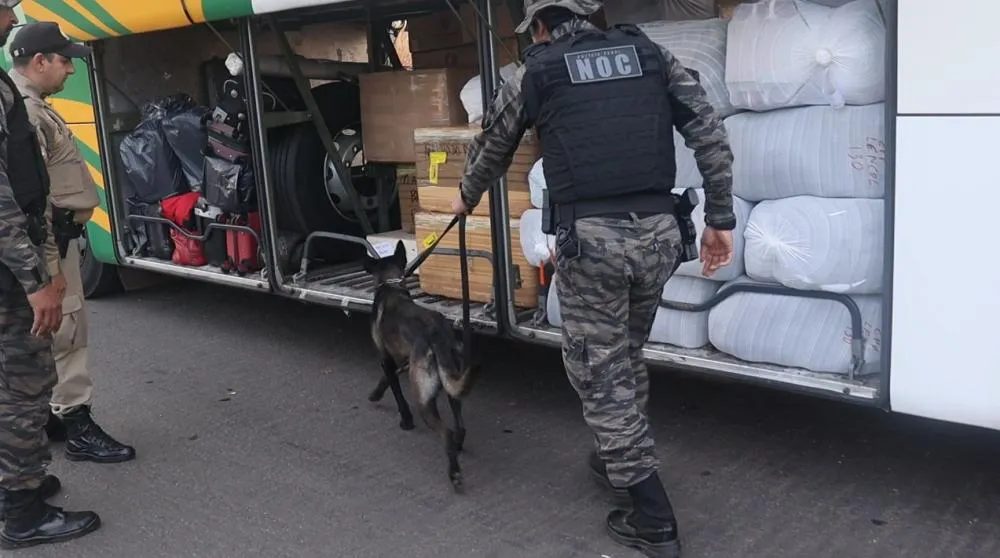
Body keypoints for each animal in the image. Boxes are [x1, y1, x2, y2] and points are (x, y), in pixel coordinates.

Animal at [364, 242, 480, 494]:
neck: (391, 287)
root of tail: (437, 334)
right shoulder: (403, 361)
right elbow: (386, 379)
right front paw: (375, 393)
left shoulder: (385, 358)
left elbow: (396, 391)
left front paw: (405, 421)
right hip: (451, 384)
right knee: (460, 427)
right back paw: (458, 448)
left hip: (423, 398)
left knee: (446, 431)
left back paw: (454, 473)